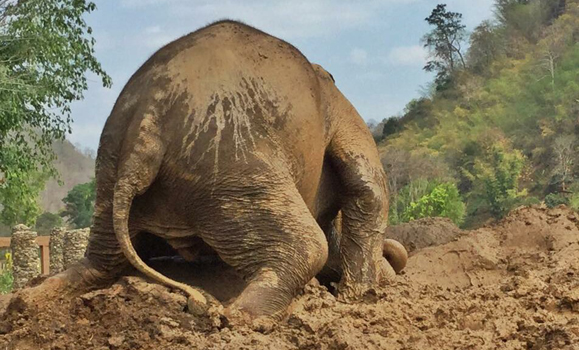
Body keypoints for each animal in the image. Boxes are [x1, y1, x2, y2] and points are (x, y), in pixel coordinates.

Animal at [10, 19, 408, 322]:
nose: (393, 266)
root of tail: (147, 121)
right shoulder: (340, 108)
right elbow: (370, 190)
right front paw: (359, 298)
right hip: (232, 162)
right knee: (309, 246)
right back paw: (238, 317)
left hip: (114, 168)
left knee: (103, 257)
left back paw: (28, 300)